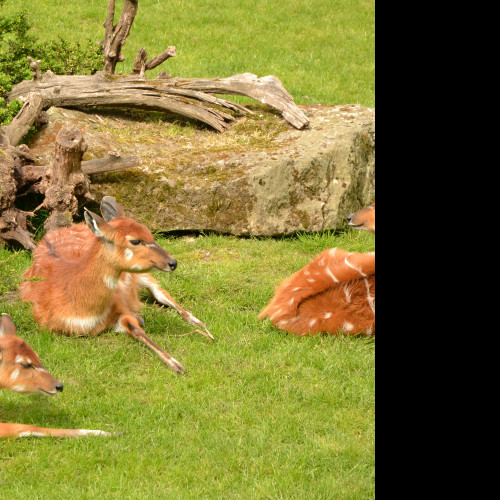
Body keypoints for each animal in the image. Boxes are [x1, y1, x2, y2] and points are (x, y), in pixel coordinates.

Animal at [20, 197, 213, 374]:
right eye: (135, 241)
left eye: (150, 233)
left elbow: (137, 328)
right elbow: (135, 328)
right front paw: (177, 365)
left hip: (141, 275)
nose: (173, 262)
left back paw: (199, 323)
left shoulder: (119, 305)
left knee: (161, 292)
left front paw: (177, 364)